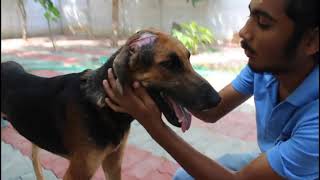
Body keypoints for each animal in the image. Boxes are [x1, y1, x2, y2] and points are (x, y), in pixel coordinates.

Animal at [0, 28, 220, 179]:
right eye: (170, 64)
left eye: (189, 58)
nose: (217, 99)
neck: (103, 105)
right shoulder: (77, 172)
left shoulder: (113, 163)